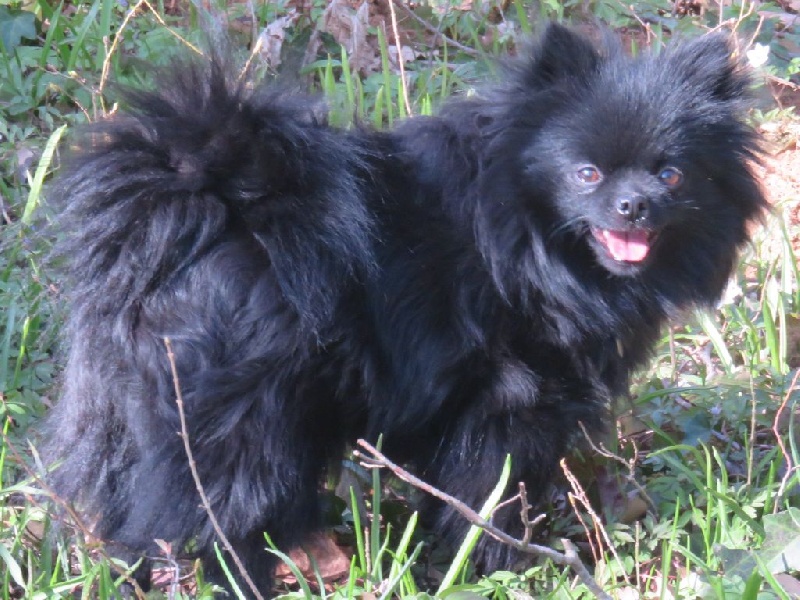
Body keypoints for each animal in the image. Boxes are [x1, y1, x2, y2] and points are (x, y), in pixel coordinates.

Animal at [45, 24, 768, 596]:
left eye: (672, 174)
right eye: (586, 173)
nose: (634, 205)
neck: (533, 248)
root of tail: (193, 203)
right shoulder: (508, 398)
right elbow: (491, 490)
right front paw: (500, 565)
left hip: (127, 407)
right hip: (238, 413)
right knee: (220, 515)